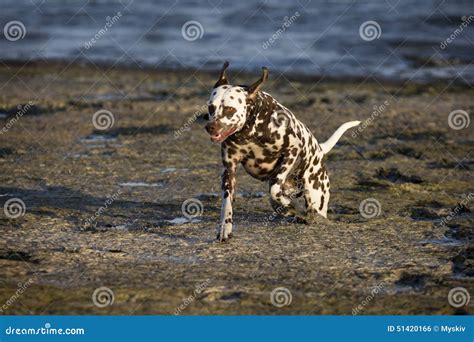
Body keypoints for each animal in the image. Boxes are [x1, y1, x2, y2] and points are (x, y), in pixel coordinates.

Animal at [205, 62, 360, 243]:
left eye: (229, 109)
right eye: (211, 107)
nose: (210, 127)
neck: (251, 131)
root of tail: (319, 149)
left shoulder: (292, 151)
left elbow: (275, 188)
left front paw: (292, 205)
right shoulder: (229, 170)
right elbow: (226, 202)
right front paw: (225, 227)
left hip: (317, 195)